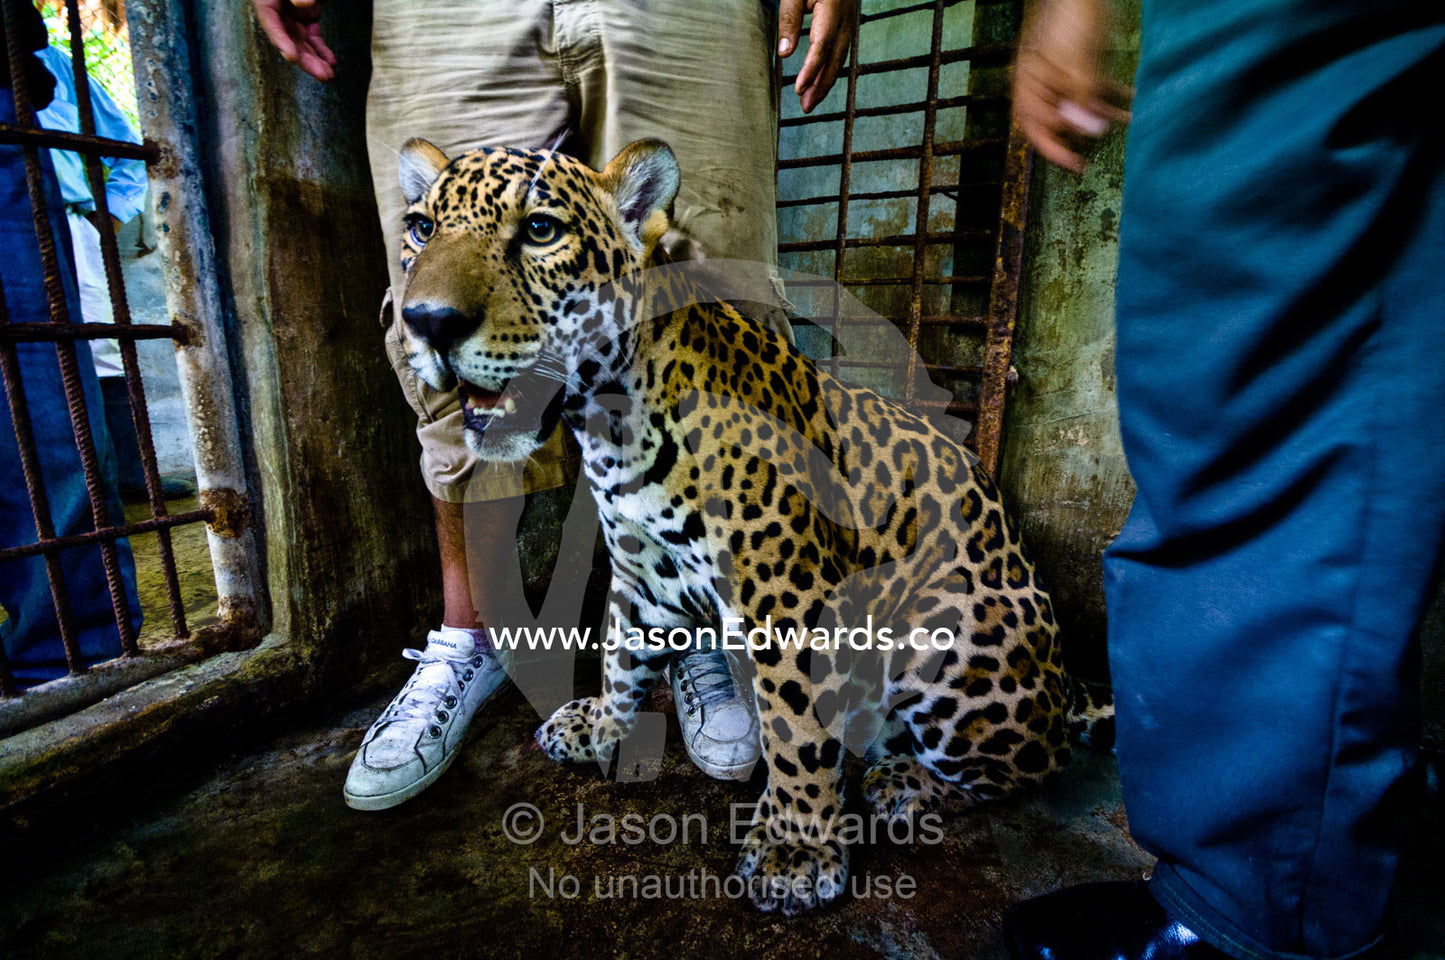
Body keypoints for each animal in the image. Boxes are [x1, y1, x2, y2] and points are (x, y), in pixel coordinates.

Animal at [391, 136, 1114, 916]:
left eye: (539, 230)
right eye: (421, 229)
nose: (427, 320)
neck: (611, 423)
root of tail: (1064, 686)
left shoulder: (788, 600)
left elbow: (794, 727)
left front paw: (797, 850)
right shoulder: (641, 575)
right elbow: (620, 658)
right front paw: (601, 726)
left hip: (944, 624)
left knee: (1029, 766)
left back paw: (902, 782)